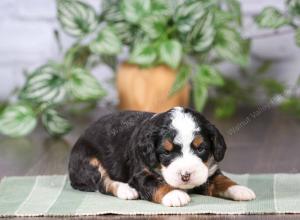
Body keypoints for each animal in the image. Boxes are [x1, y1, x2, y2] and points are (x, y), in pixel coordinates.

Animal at [68, 106, 255, 206]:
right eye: (166, 152)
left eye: (200, 148)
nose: (186, 176)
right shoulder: (141, 174)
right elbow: (156, 184)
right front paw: (174, 195)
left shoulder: (209, 171)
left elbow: (222, 179)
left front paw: (239, 189)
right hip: (88, 160)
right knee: (102, 182)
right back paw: (126, 190)